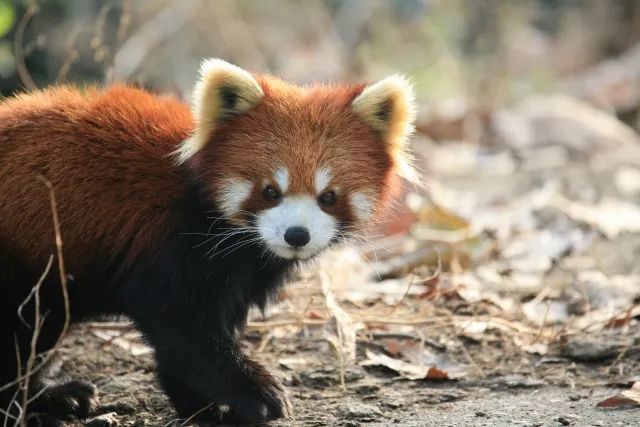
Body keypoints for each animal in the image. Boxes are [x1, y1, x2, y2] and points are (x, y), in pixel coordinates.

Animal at [0, 59, 418, 424]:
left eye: (328, 197)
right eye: (270, 191)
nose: (296, 235)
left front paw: (203, 406)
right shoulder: (169, 244)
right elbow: (184, 331)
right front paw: (255, 393)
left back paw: (53, 397)